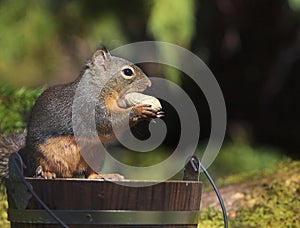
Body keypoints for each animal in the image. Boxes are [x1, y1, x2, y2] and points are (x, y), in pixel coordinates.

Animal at [0, 45, 163, 180]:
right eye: (127, 72)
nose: (149, 84)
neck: (98, 87)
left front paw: (152, 116)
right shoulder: (88, 107)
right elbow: (107, 122)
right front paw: (138, 110)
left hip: (95, 154)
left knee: (89, 173)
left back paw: (102, 176)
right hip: (39, 154)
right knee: (38, 166)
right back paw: (45, 172)